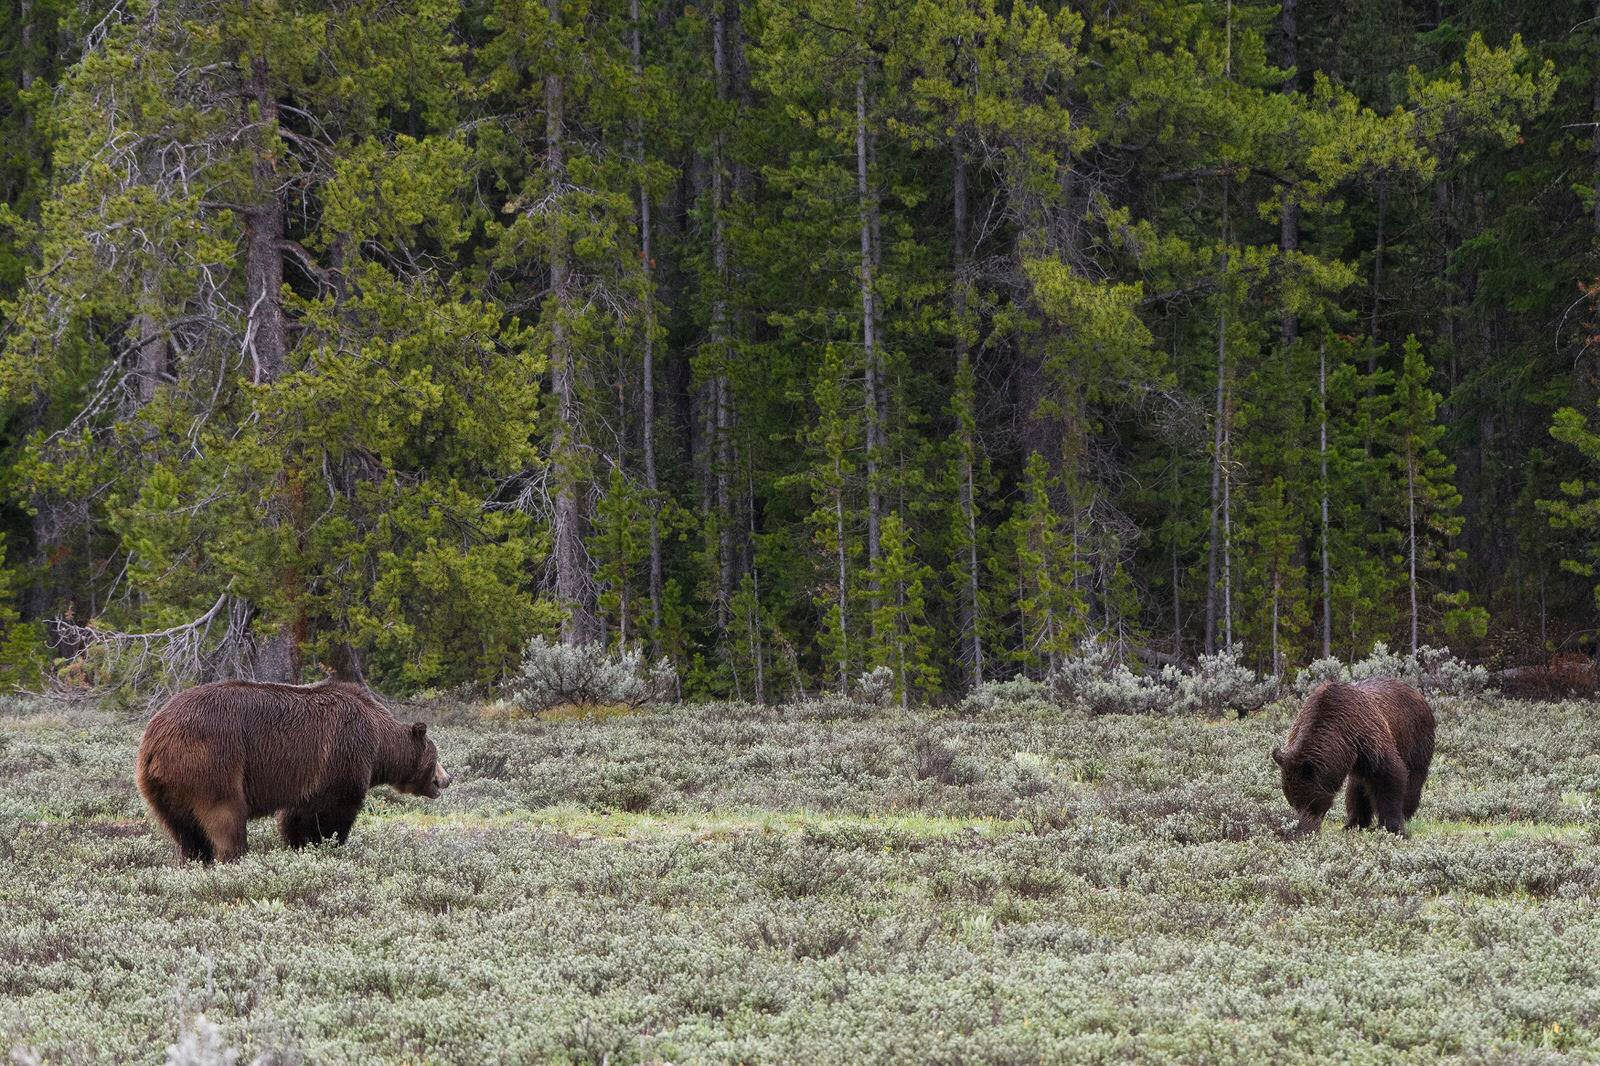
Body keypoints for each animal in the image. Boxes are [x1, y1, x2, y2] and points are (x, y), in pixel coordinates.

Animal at [136, 681, 451, 864]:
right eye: (436, 757)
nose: (446, 779)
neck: (379, 745)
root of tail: (155, 738)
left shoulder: (308, 777)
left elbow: (297, 816)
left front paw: (298, 845)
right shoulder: (343, 754)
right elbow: (333, 812)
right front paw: (329, 843)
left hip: (164, 786)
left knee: (184, 829)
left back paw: (193, 859)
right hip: (212, 762)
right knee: (224, 815)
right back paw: (234, 857)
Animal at [1273, 675, 1440, 832]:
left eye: (1309, 801)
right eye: (1292, 801)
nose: (1303, 828)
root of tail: (1416, 692)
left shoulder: (1368, 738)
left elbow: (1390, 775)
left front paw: (1392, 827)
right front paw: (1352, 824)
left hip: (1415, 738)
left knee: (1414, 777)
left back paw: (1406, 812)